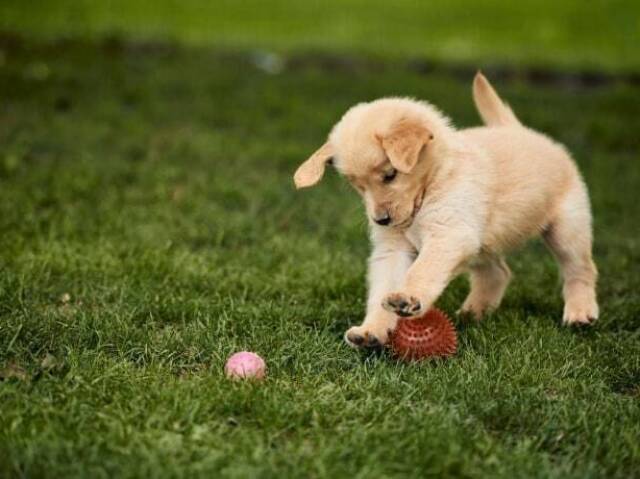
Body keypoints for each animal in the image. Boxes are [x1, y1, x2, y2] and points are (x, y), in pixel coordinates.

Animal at [292, 73, 596, 346]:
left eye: (390, 175)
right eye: (357, 186)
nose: (381, 220)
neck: (434, 180)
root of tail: (521, 130)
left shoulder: (448, 233)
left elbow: (422, 270)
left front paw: (408, 298)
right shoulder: (394, 248)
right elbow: (383, 288)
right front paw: (371, 331)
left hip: (567, 228)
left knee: (580, 270)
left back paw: (580, 313)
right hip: (482, 243)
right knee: (497, 273)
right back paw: (474, 313)